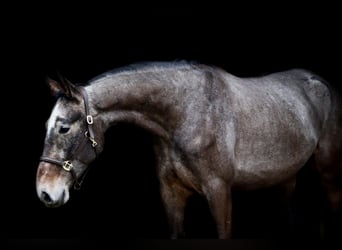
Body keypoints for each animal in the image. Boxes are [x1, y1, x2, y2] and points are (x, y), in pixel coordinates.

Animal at [36, 60, 342, 238]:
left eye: (64, 128)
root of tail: (323, 83)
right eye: (47, 125)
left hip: (328, 171)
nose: (45, 193)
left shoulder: (219, 192)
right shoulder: (171, 195)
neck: (187, 113)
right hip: (286, 177)